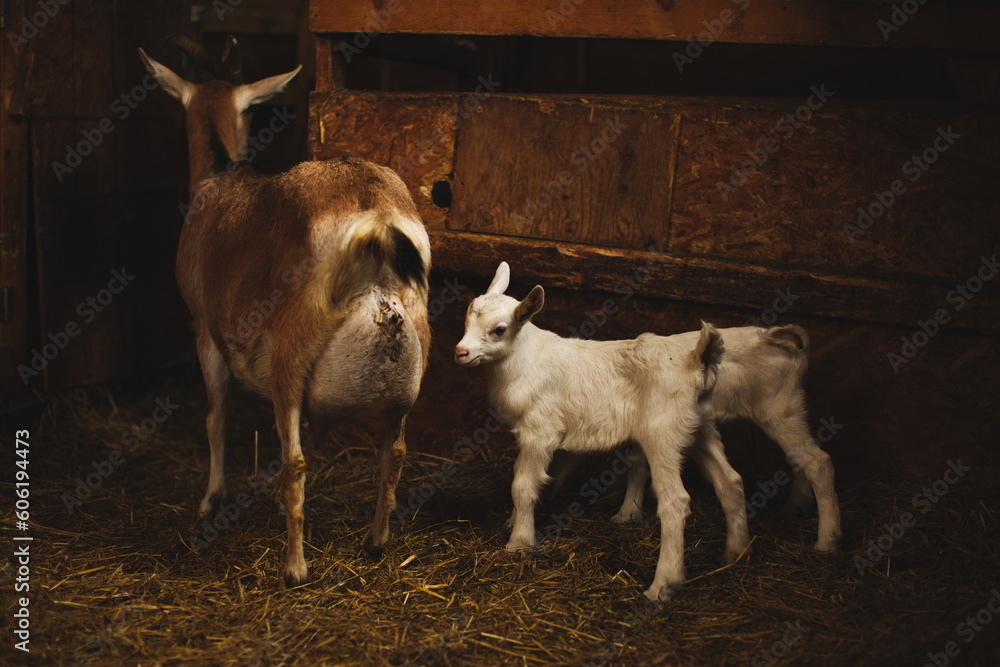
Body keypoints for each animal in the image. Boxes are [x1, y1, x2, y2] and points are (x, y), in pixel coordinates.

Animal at [139, 36, 431, 586]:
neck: (221, 176)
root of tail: (376, 213)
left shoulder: (205, 330)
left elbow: (216, 416)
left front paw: (211, 499)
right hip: (413, 354)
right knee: (395, 451)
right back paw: (376, 541)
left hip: (289, 356)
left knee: (293, 461)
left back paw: (295, 568)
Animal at [455, 262, 749, 601]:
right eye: (467, 318)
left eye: (500, 329)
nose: (460, 352)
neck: (525, 362)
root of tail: (695, 363)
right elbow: (521, 473)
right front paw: (513, 521)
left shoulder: (540, 430)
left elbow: (523, 485)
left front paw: (519, 543)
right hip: (701, 425)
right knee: (730, 481)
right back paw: (735, 554)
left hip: (662, 431)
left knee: (675, 501)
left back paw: (662, 585)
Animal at [612, 325, 842, 552]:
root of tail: (769, 335)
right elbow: (636, 467)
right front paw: (628, 514)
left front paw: (627, 512)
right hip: (788, 413)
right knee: (799, 457)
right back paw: (795, 506)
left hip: (778, 411)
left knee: (818, 462)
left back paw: (826, 541)